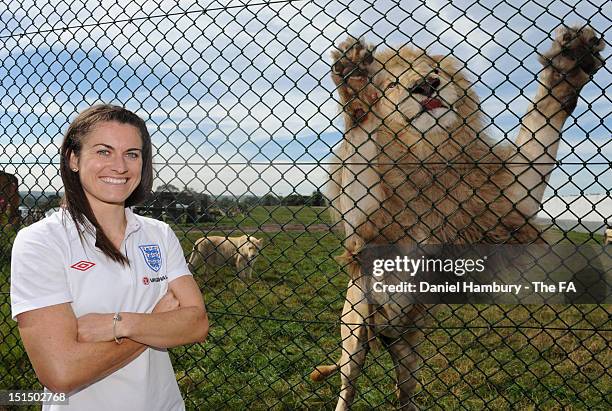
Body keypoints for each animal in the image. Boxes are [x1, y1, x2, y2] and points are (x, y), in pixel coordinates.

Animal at [314, 26, 604, 411]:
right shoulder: (367, 221)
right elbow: (362, 133)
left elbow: (542, 120)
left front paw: (570, 63)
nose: (426, 85)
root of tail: (388, 333)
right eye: (391, 84)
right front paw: (356, 80)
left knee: (404, 391)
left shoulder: (510, 194)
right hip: (355, 329)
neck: (431, 153)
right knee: (348, 385)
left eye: (436, 69)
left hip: (410, 348)